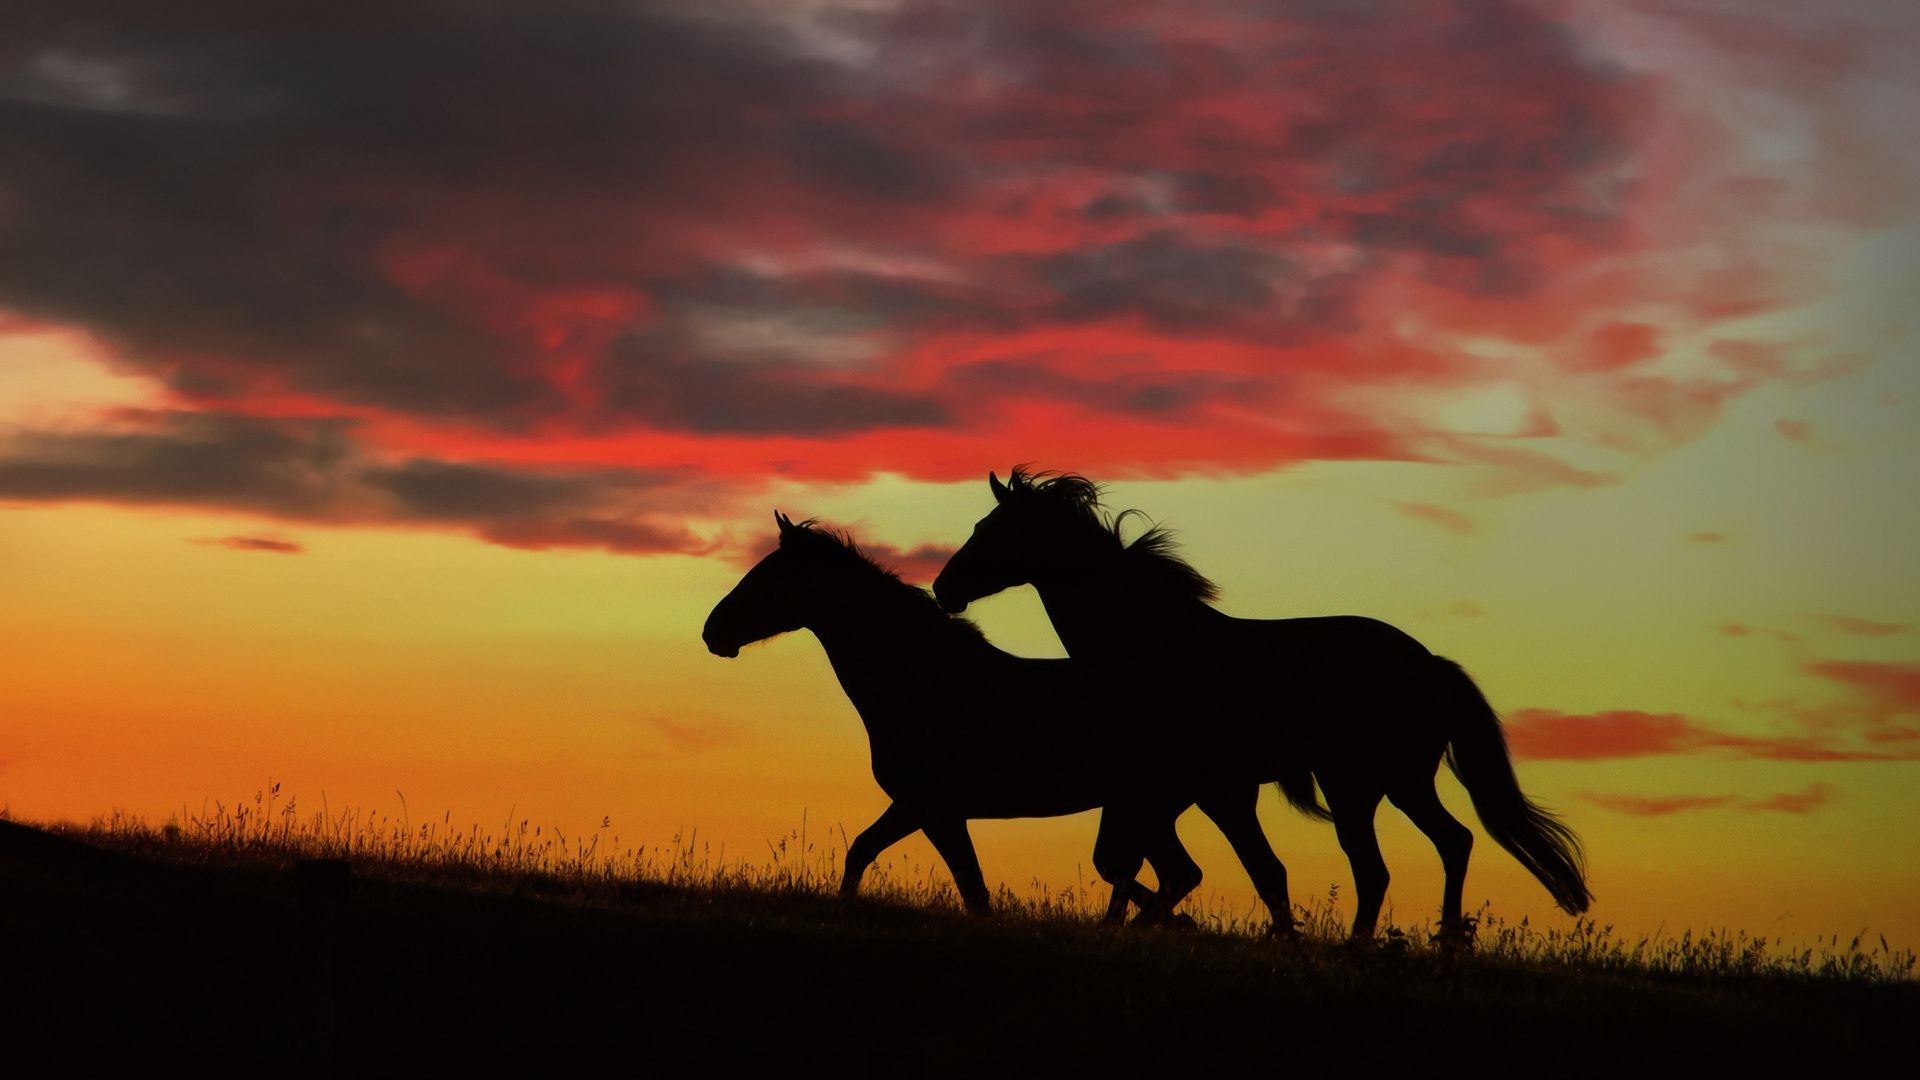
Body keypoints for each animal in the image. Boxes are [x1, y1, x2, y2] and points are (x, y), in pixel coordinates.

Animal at [706, 511, 1205, 914]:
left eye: (769, 577)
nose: (712, 631)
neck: (927, 681)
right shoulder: (925, 810)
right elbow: (870, 853)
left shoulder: (931, 808)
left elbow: (969, 888)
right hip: (1150, 811)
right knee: (1164, 874)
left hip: (1147, 807)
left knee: (1163, 874)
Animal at [933, 466, 1589, 937]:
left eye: (990, 531)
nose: (943, 588)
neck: (1154, 646)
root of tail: (1429, 664)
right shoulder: (1184, 792)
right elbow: (1208, 870)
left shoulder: (1200, 790)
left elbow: (1229, 871)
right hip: (1394, 784)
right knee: (1448, 844)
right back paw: (1441, 940)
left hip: (1361, 785)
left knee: (1385, 864)